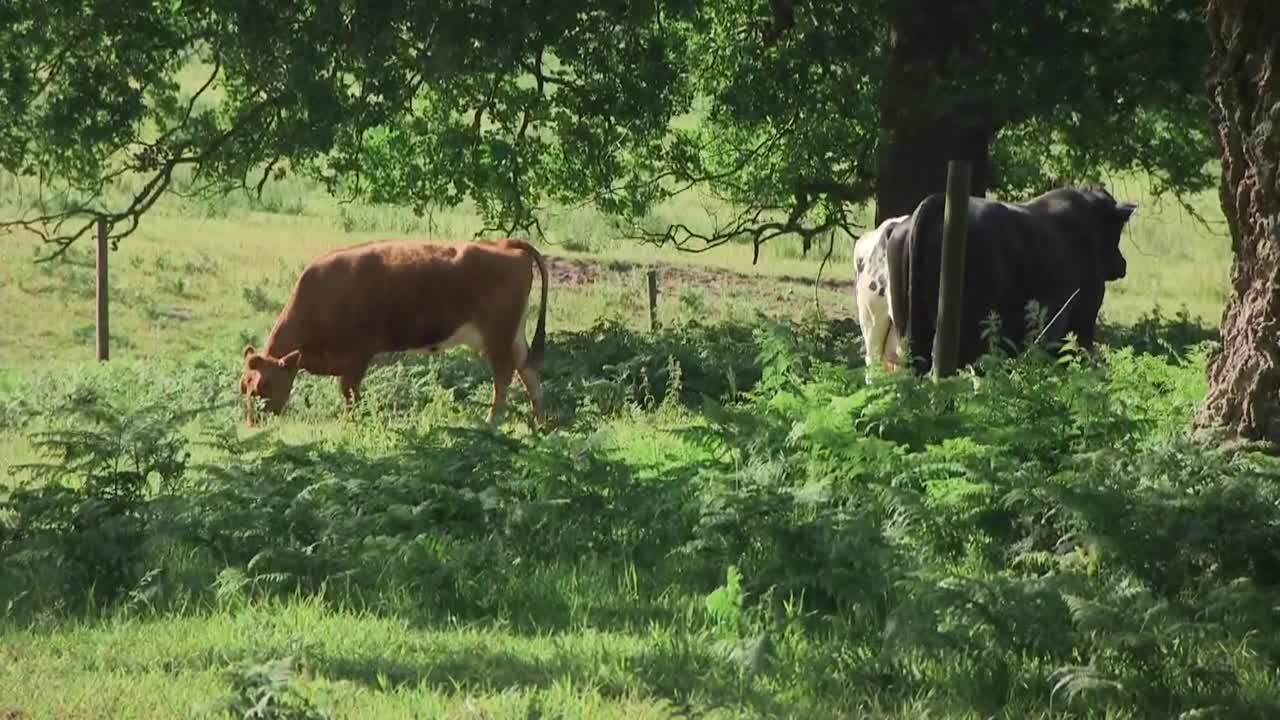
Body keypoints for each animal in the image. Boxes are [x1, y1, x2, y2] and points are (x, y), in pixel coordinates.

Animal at [240, 235, 550, 425]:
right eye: (243, 386)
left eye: (263, 386)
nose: (251, 424)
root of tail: (504, 244)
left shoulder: (356, 357)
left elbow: (349, 395)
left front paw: (350, 423)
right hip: (513, 335)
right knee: (528, 371)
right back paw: (541, 423)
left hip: (498, 335)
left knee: (504, 376)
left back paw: (492, 423)